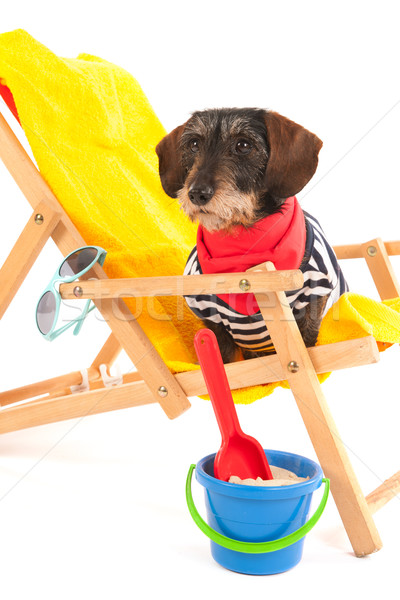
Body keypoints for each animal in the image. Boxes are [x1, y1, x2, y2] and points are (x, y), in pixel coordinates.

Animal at [155, 107, 348, 360]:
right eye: (194, 144)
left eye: (243, 145)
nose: (196, 193)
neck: (244, 240)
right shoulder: (210, 319)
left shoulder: (314, 297)